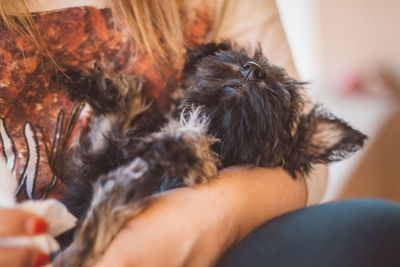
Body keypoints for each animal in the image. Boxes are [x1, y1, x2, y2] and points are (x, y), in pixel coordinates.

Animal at [53, 42, 366, 267]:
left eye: (285, 101)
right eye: (242, 55)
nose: (252, 70)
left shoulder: (197, 172)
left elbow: (198, 153)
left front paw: (182, 143)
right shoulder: (92, 159)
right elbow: (120, 113)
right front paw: (90, 83)